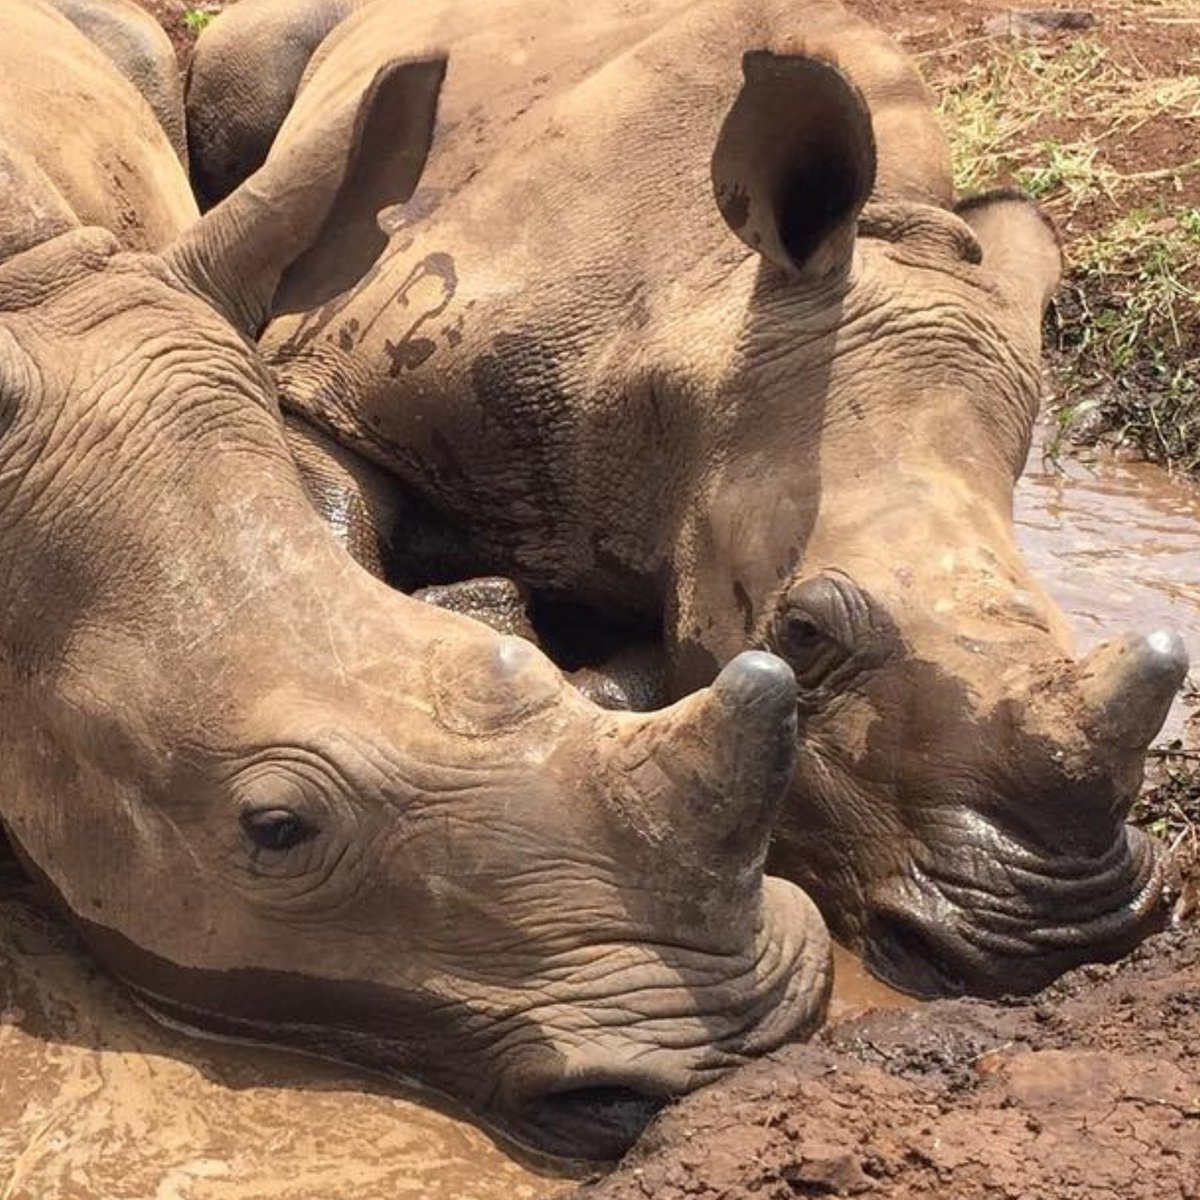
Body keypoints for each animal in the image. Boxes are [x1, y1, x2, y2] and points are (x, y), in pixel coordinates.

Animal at [187, 0, 1192, 1000]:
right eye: (804, 633)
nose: (1064, 932)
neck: (703, 331)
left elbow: (660, 670)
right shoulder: (341, 379)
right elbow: (332, 524)